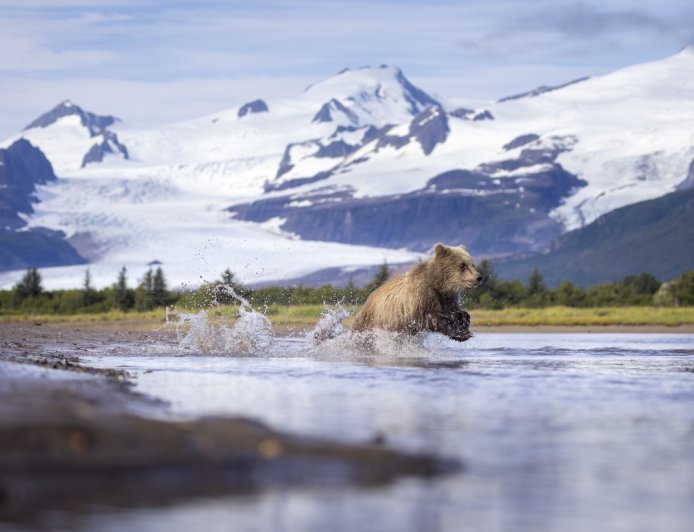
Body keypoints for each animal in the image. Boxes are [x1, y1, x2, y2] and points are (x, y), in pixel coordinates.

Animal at [352, 243, 480, 342]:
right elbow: (431, 317)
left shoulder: (448, 298)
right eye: (462, 265)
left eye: (472, 264)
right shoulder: (421, 297)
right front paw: (460, 331)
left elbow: (455, 311)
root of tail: (367, 301)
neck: (439, 285)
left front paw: (463, 321)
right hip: (369, 323)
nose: (478, 277)